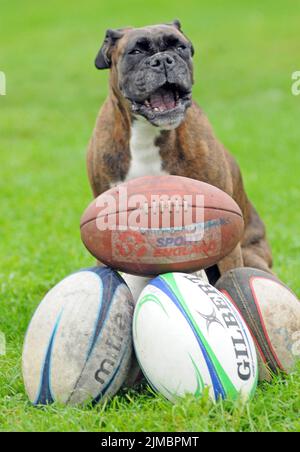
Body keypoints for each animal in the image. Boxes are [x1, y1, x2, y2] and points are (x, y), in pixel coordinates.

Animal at [86, 22, 272, 282]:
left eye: (179, 46)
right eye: (136, 51)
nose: (163, 60)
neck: (148, 133)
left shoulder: (229, 244)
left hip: (252, 255)